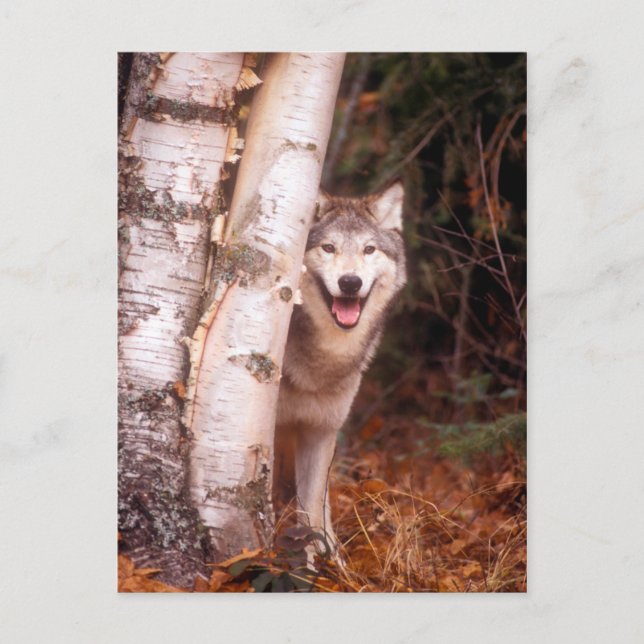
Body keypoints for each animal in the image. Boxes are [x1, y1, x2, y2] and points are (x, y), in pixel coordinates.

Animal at [274, 180, 406, 556]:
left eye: (369, 250)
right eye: (328, 247)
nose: (350, 282)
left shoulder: (321, 431)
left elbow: (312, 507)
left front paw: (323, 560)